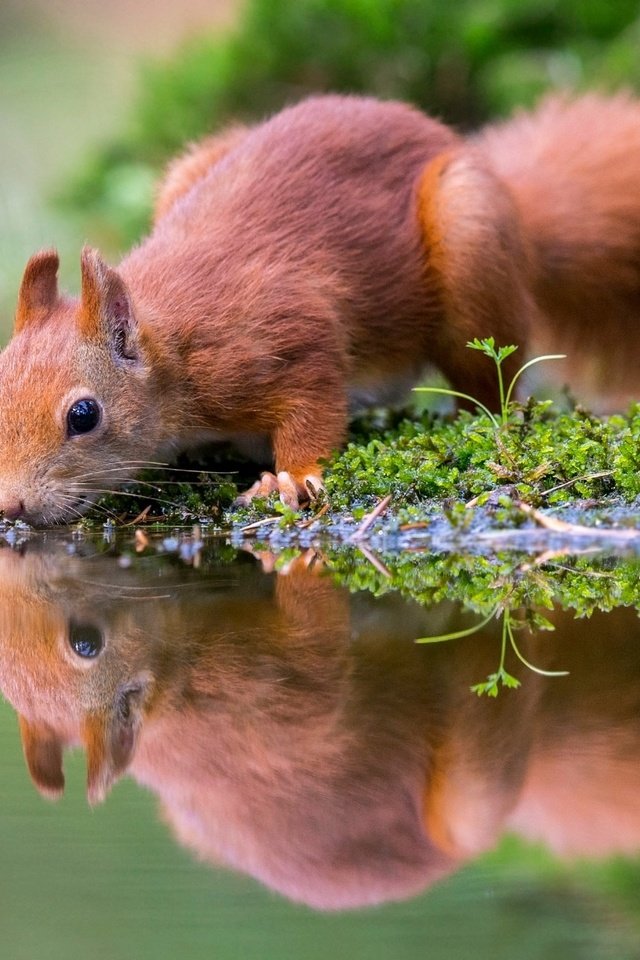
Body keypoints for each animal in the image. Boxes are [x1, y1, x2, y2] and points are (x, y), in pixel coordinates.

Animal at [1, 93, 640, 520]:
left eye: (84, 415)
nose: (10, 506)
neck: (174, 349)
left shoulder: (285, 337)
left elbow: (313, 406)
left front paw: (291, 478)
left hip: (471, 242)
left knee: (492, 383)